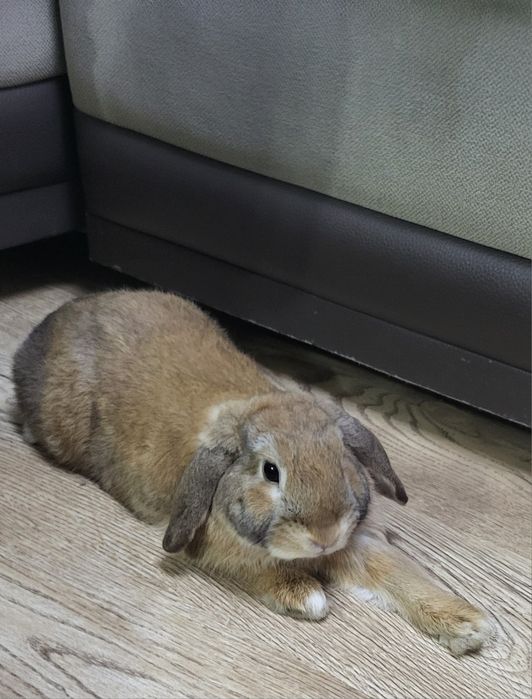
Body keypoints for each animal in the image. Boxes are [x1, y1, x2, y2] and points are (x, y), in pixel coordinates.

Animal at [13, 289, 491, 655]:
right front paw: (305, 597)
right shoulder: (217, 549)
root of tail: (54, 322)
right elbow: (256, 570)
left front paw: (471, 625)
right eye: (271, 471)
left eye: (342, 457)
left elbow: (396, 572)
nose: (325, 534)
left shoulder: (356, 545)